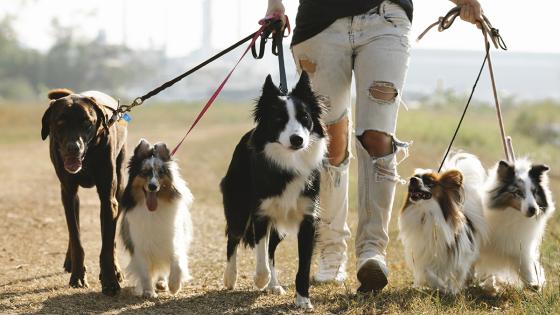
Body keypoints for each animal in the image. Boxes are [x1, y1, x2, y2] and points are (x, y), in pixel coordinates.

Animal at [41, 89, 127, 296]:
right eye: (60, 123)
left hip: (120, 187)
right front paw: (78, 276)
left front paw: (110, 280)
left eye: (87, 123)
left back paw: (116, 269)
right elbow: (76, 238)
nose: (73, 148)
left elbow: (107, 245)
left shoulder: (108, 200)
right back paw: (70, 260)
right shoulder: (68, 193)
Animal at [119, 139, 194, 298]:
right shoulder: (140, 246)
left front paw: (174, 286)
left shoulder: (173, 242)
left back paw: (163, 283)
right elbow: (145, 273)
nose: (152, 186)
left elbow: (177, 263)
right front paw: (148, 292)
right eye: (144, 172)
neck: (153, 211)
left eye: (161, 172)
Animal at [221, 72, 328, 312]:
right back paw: (231, 278)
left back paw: (274, 284)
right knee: (234, 238)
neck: (289, 161)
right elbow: (260, 255)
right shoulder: (261, 213)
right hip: (238, 205)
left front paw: (303, 300)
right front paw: (260, 279)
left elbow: (303, 266)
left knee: (271, 248)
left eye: (305, 117)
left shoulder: (308, 218)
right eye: (279, 120)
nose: (297, 139)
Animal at [400, 154, 488, 296]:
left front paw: (451, 290)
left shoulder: (459, 256)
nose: (412, 180)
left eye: (429, 181)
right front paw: (440, 286)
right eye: (415, 177)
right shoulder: (423, 253)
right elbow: (428, 272)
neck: (426, 213)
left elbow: (455, 274)